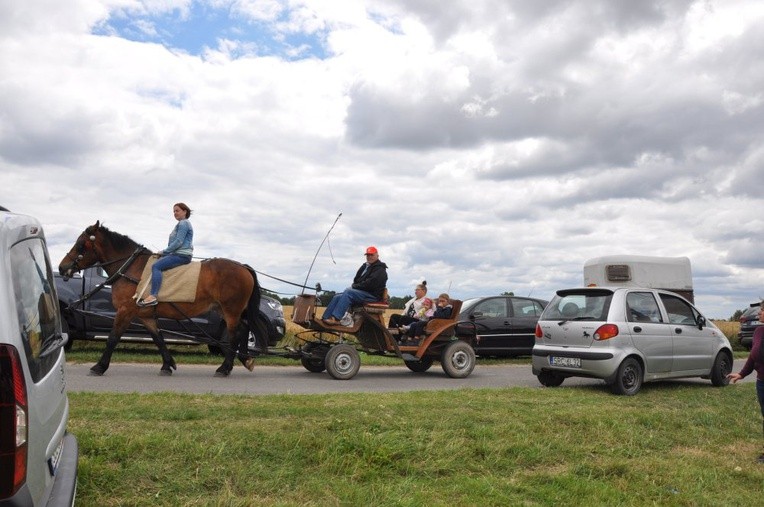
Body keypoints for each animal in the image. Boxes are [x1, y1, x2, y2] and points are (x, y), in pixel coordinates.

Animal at [58, 222, 264, 378]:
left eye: (80, 244)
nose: (62, 268)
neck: (133, 269)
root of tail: (242, 267)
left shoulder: (125, 311)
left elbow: (113, 338)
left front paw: (99, 366)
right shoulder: (145, 315)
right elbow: (158, 339)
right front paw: (167, 364)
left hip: (231, 310)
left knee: (235, 334)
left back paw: (225, 368)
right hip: (224, 309)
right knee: (243, 329)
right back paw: (244, 359)